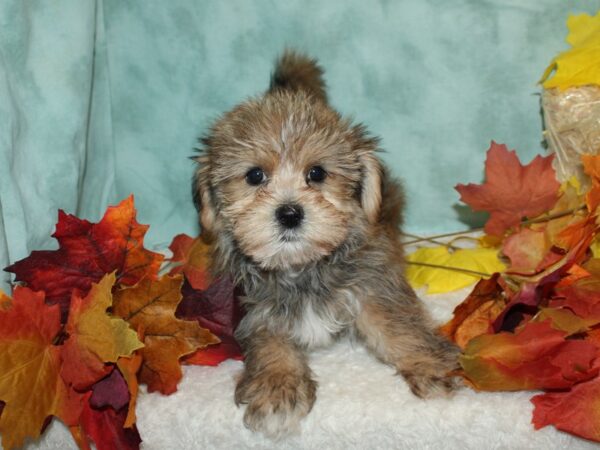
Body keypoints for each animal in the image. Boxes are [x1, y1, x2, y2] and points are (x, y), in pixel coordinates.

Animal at [192, 51, 460, 438]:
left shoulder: (371, 283)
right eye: (255, 176)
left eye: (317, 173)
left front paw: (429, 364)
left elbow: (398, 325)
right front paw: (277, 387)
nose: (289, 213)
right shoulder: (252, 305)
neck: (301, 266)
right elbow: (269, 339)